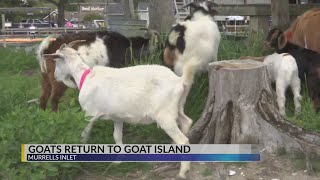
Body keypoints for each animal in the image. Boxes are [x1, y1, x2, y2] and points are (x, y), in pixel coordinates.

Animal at [44, 40, 200, 179]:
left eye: (56, 60)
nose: (55, 77)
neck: (86, 77)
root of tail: (180, 81)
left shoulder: (89, 116)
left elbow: (84, 136)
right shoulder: (117, 117)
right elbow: (117, 136)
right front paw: (118, 161)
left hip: (164, 114)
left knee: (183, 139)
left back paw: (183, 171)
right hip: (178, 107)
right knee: (186, 121)